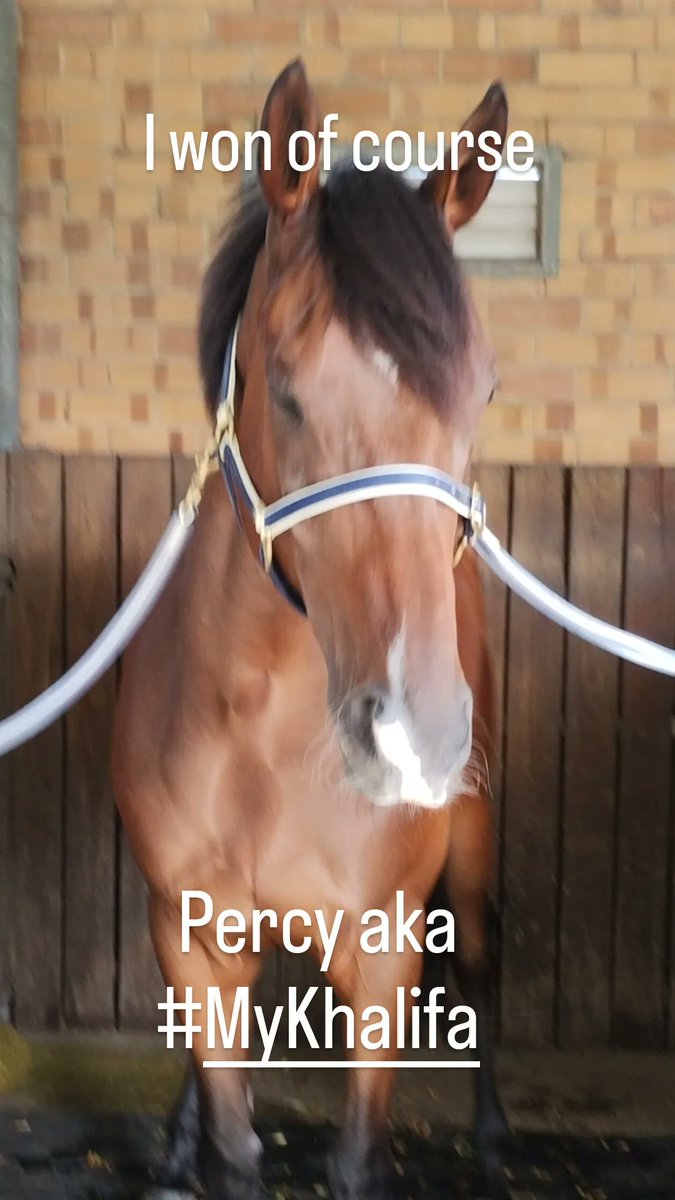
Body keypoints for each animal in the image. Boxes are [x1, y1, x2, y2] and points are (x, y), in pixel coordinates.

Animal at [112, 60, 509, 1200]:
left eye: (482, 391)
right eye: (285, 390)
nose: (415, 736)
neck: (268, 732)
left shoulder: (384, 947)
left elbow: (360, 1154)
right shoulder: (188, 931)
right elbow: (237, 1137)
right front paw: (198, 1141)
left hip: (473, 861)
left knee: (484, 961)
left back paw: (494, 1136)